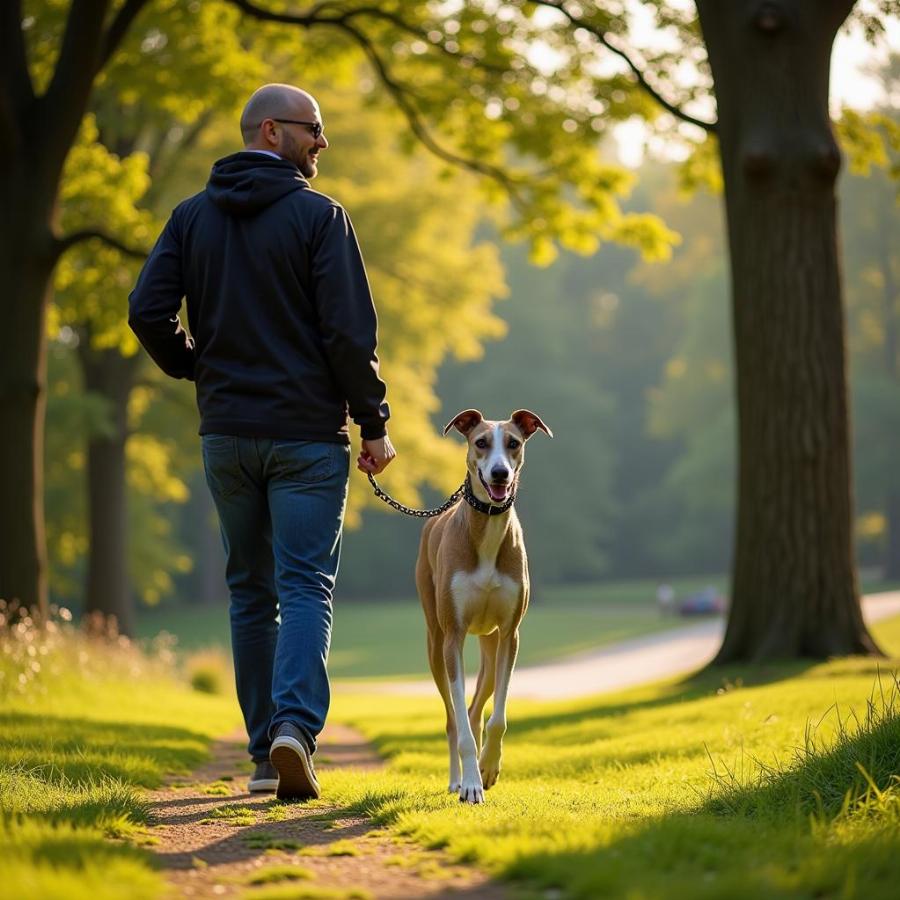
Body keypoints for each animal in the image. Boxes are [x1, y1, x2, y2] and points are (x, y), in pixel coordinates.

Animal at [416, 408, 556, 800]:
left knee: (477, 708)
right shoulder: (453, 636)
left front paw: (488, 768)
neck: (488, 530)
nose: (500, 473)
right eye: (480, 442)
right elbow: (461, 727)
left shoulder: (510, 634)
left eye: (513, 443)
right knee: (453, 717)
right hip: (435, 643)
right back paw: (457, 778)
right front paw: (470, 786)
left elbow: (498, 719)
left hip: (491, 646)